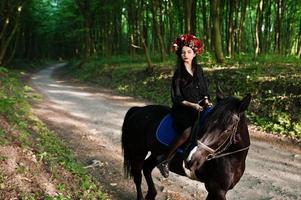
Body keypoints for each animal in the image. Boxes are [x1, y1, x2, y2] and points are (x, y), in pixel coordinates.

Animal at [120, 90, 250, 199]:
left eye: (228, 130)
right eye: (206, 122)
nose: (192, 160)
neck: (232, 158)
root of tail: (138, 110)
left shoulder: (217, 191)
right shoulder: (217, 190)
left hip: (156, 153)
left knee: (146, 167)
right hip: (138, 152)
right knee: (137, 176)